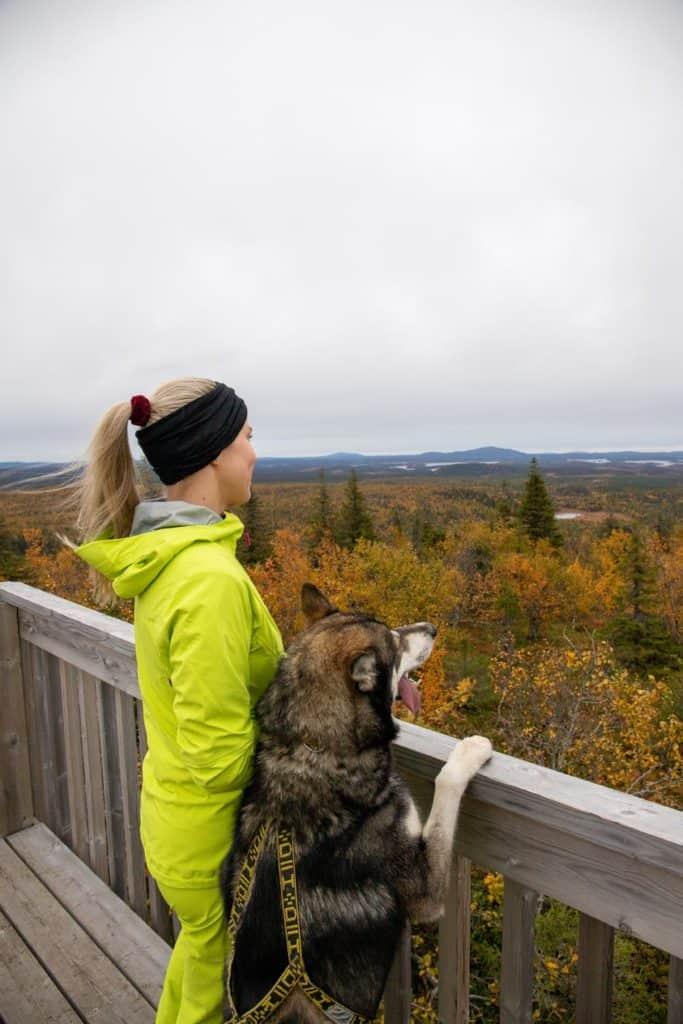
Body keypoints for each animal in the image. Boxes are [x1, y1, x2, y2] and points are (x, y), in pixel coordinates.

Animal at [222, 585, 493, 1024]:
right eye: (396, 643)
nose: (433, 627)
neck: (317, 747)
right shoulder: (424, 889)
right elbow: (446, 782)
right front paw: (470, 750)